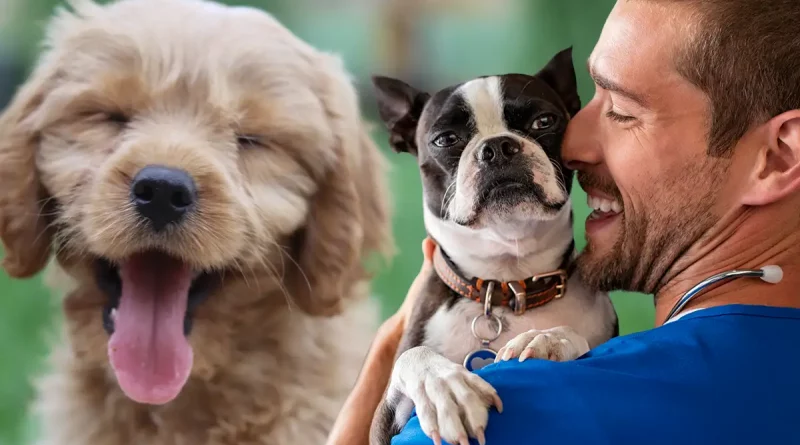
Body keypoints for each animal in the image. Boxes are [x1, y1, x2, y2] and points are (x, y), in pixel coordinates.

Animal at [368, 48, 620, 444]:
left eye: (544, 121)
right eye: (445, 139)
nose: (498, 147)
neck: (506, 282)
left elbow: (575, 338)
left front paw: (549, 339)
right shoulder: (381, 421)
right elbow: (413, 357)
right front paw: (445, 387)